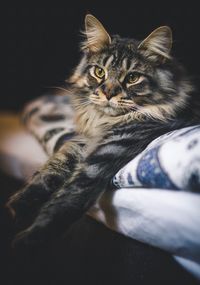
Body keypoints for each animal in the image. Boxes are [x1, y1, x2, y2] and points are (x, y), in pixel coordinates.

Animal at [6, 14, 200, 245]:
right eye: (99, 72)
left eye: (132, 77)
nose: (108, 93)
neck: (104, 121)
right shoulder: (81, 142)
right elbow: (50, 170)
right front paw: (20, 206)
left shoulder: (109, 150)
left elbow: (69, 196)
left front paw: (31, 238)